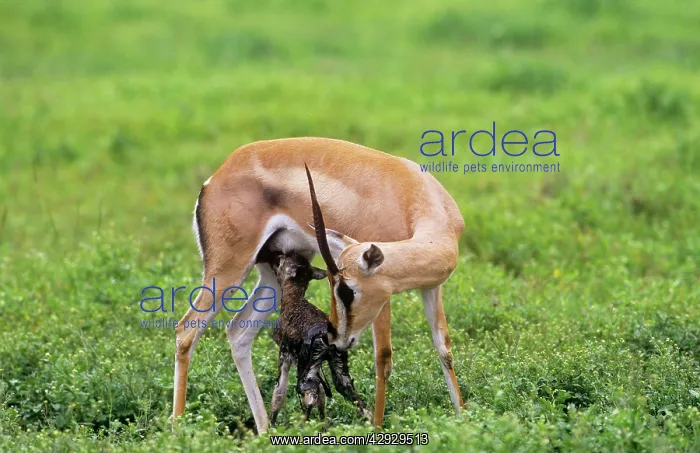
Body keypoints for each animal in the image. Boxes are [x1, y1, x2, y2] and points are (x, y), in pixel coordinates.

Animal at [254, 245, 370, 426]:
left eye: (281, 259)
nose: (272, 255)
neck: (293, 298)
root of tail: (326, 335)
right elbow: (322, 397)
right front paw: (324, 428)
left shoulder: (285, 353)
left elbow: (278, 393)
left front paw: (271, 426)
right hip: (339, 369)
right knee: (359, 403)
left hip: (306, 369)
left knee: (309, 396)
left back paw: (303, 425)